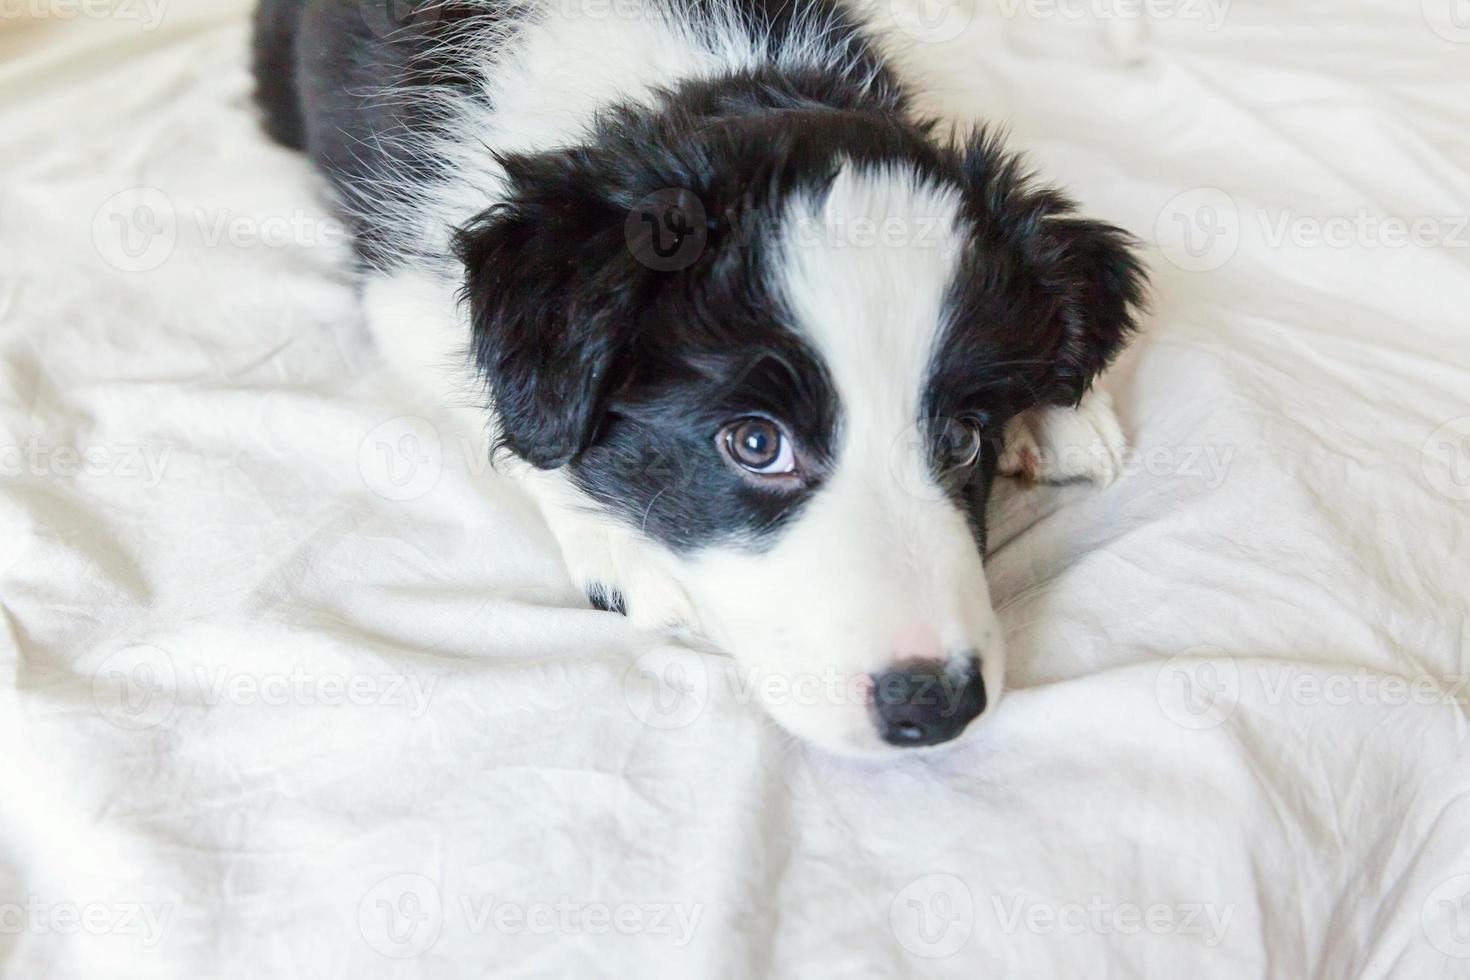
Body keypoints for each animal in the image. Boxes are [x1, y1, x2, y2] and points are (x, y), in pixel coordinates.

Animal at [252, 0, 1146, 758]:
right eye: (755, 444)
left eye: (963, 438)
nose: (934, 706)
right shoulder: (402, 284)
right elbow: (501, 412)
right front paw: (616, 542)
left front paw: (1059, 407)